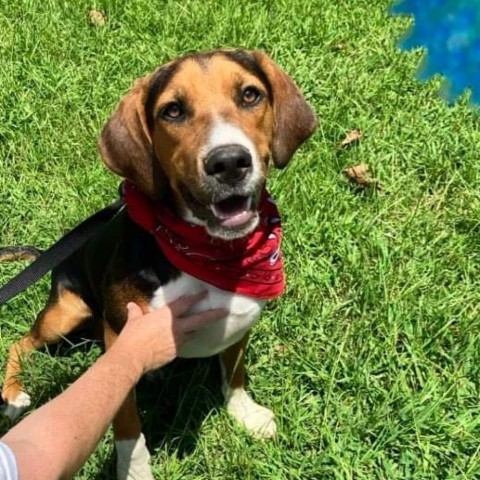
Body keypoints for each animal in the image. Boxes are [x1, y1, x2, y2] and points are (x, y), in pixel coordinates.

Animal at [1, 49, 316, 480]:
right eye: (173, 111)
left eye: (250, 94)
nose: (229, 162)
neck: (210, 252)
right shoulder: (121, 340)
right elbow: (127, 425)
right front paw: (135, 470)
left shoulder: (241, 321)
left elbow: (234, 373)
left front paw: (244, 413)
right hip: (67, 310)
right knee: (20, 343)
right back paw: (13, 394)